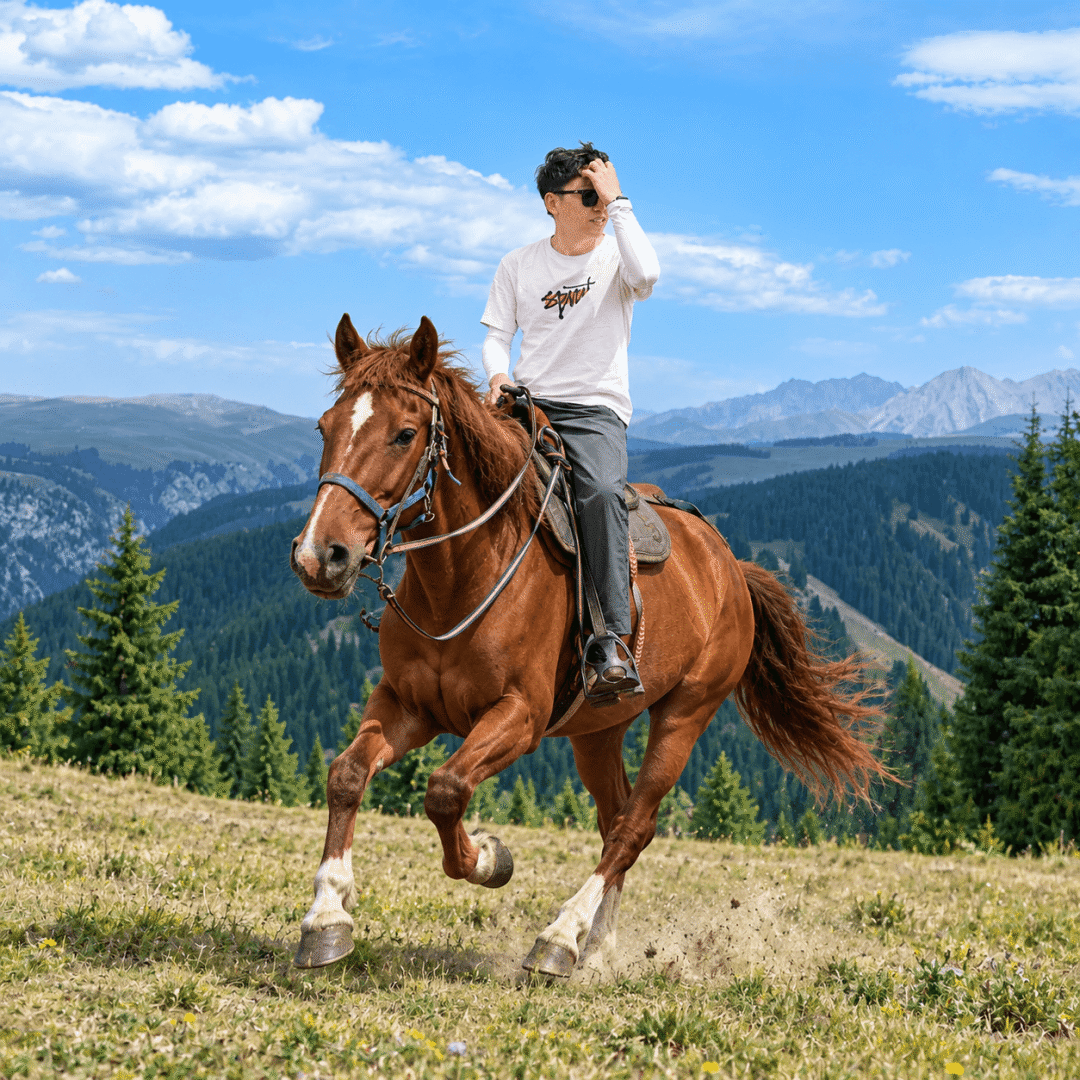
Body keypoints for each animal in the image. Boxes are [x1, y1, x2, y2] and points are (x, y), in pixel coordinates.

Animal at [289, 313, 889, 977]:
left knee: (634, 826)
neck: (466, 575)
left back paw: (561, 936)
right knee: (614, 817)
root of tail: (733, 568)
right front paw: (327, 917)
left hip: (686, 713)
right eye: (324, 427)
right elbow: (347, 774)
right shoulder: (407, 704)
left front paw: (490, 858)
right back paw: (596, 945)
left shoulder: (519, 717)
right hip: (597, 732)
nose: (320, 555)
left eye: (404, 434)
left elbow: (446, 790)